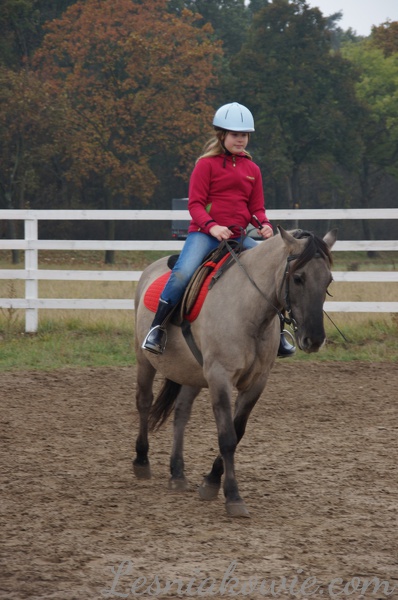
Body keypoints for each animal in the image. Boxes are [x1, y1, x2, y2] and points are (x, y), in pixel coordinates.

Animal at [133, 227, 336, 516]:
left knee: (181, 413)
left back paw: (177, 473)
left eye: (328, 280)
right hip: (145, 360)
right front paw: (232, 496)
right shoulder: (220, 378)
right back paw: (141, 460)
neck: (248, 310)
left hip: (192, 373)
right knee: (144, 402)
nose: (315, 339)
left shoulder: (256, 382)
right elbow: (227, 436)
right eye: (298, 278)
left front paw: (210, 481)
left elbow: (237, 432)